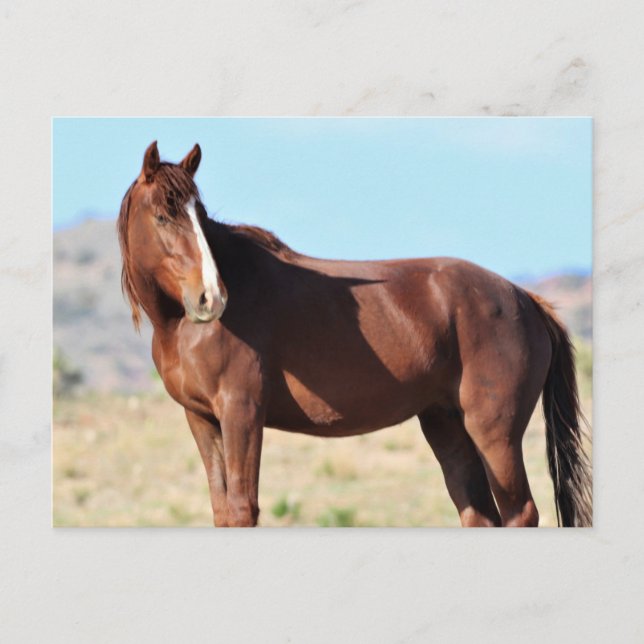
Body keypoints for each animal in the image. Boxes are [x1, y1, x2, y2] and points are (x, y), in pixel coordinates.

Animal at [117, 141, 592, 528]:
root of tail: (524, 298)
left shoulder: (241, 412)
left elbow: (241, 510)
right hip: (447, 426)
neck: (182, 326)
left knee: (520, 513)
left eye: (199, 215)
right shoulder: (202, 419)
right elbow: (223, 510)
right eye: (162, 215)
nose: (211, 297)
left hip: (494, 433)